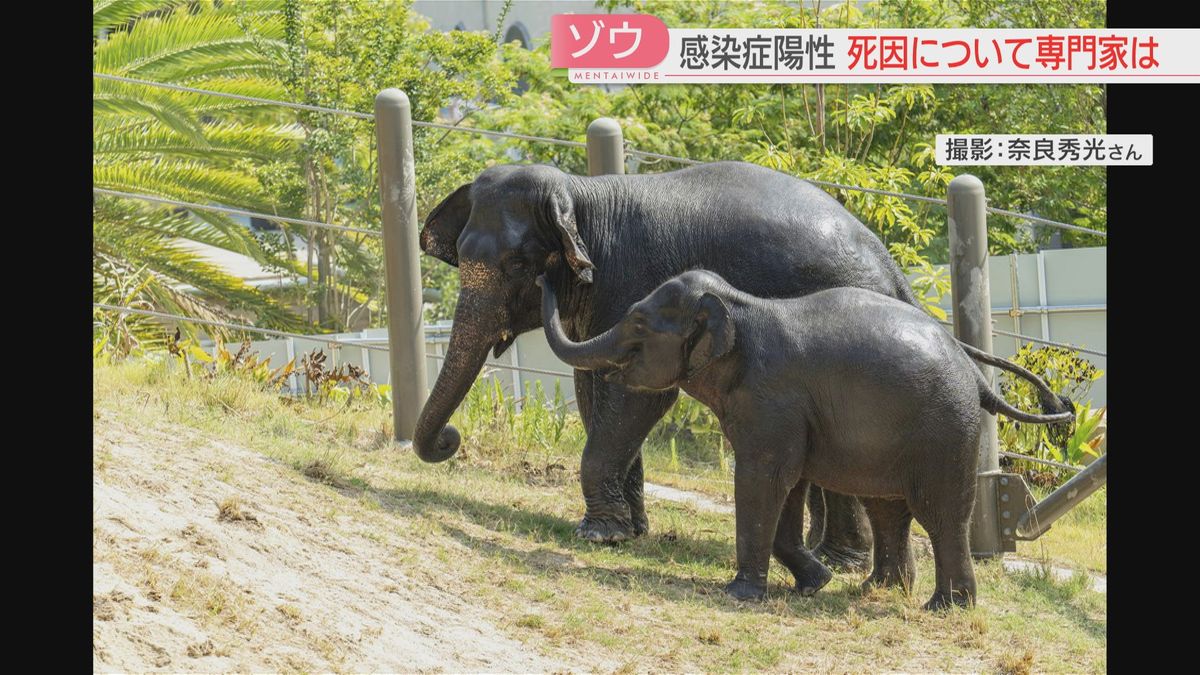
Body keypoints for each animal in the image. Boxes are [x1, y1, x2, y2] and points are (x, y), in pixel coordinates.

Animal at [412, 158, 964, 557]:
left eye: (518, 264)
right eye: (461, 257)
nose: (450, 439)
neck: (582, 193)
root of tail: (892, 270)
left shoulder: (633, 282)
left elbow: (638, 398)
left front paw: (601, 536)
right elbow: (595, 389)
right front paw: (630, 530)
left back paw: (836, 560)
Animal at [540, 269, 1075, 610]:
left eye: (638, 323)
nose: (551, 275)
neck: (740, 304)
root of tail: (977, 377)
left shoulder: (771, 398)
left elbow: (764, 478)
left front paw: (740, 596)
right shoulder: (783, 411)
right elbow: (787, 483)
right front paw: (814, 584)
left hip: (945, 430)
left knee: (938, 514)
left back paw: (943, 609)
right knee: (889, 510)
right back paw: (878, 590)